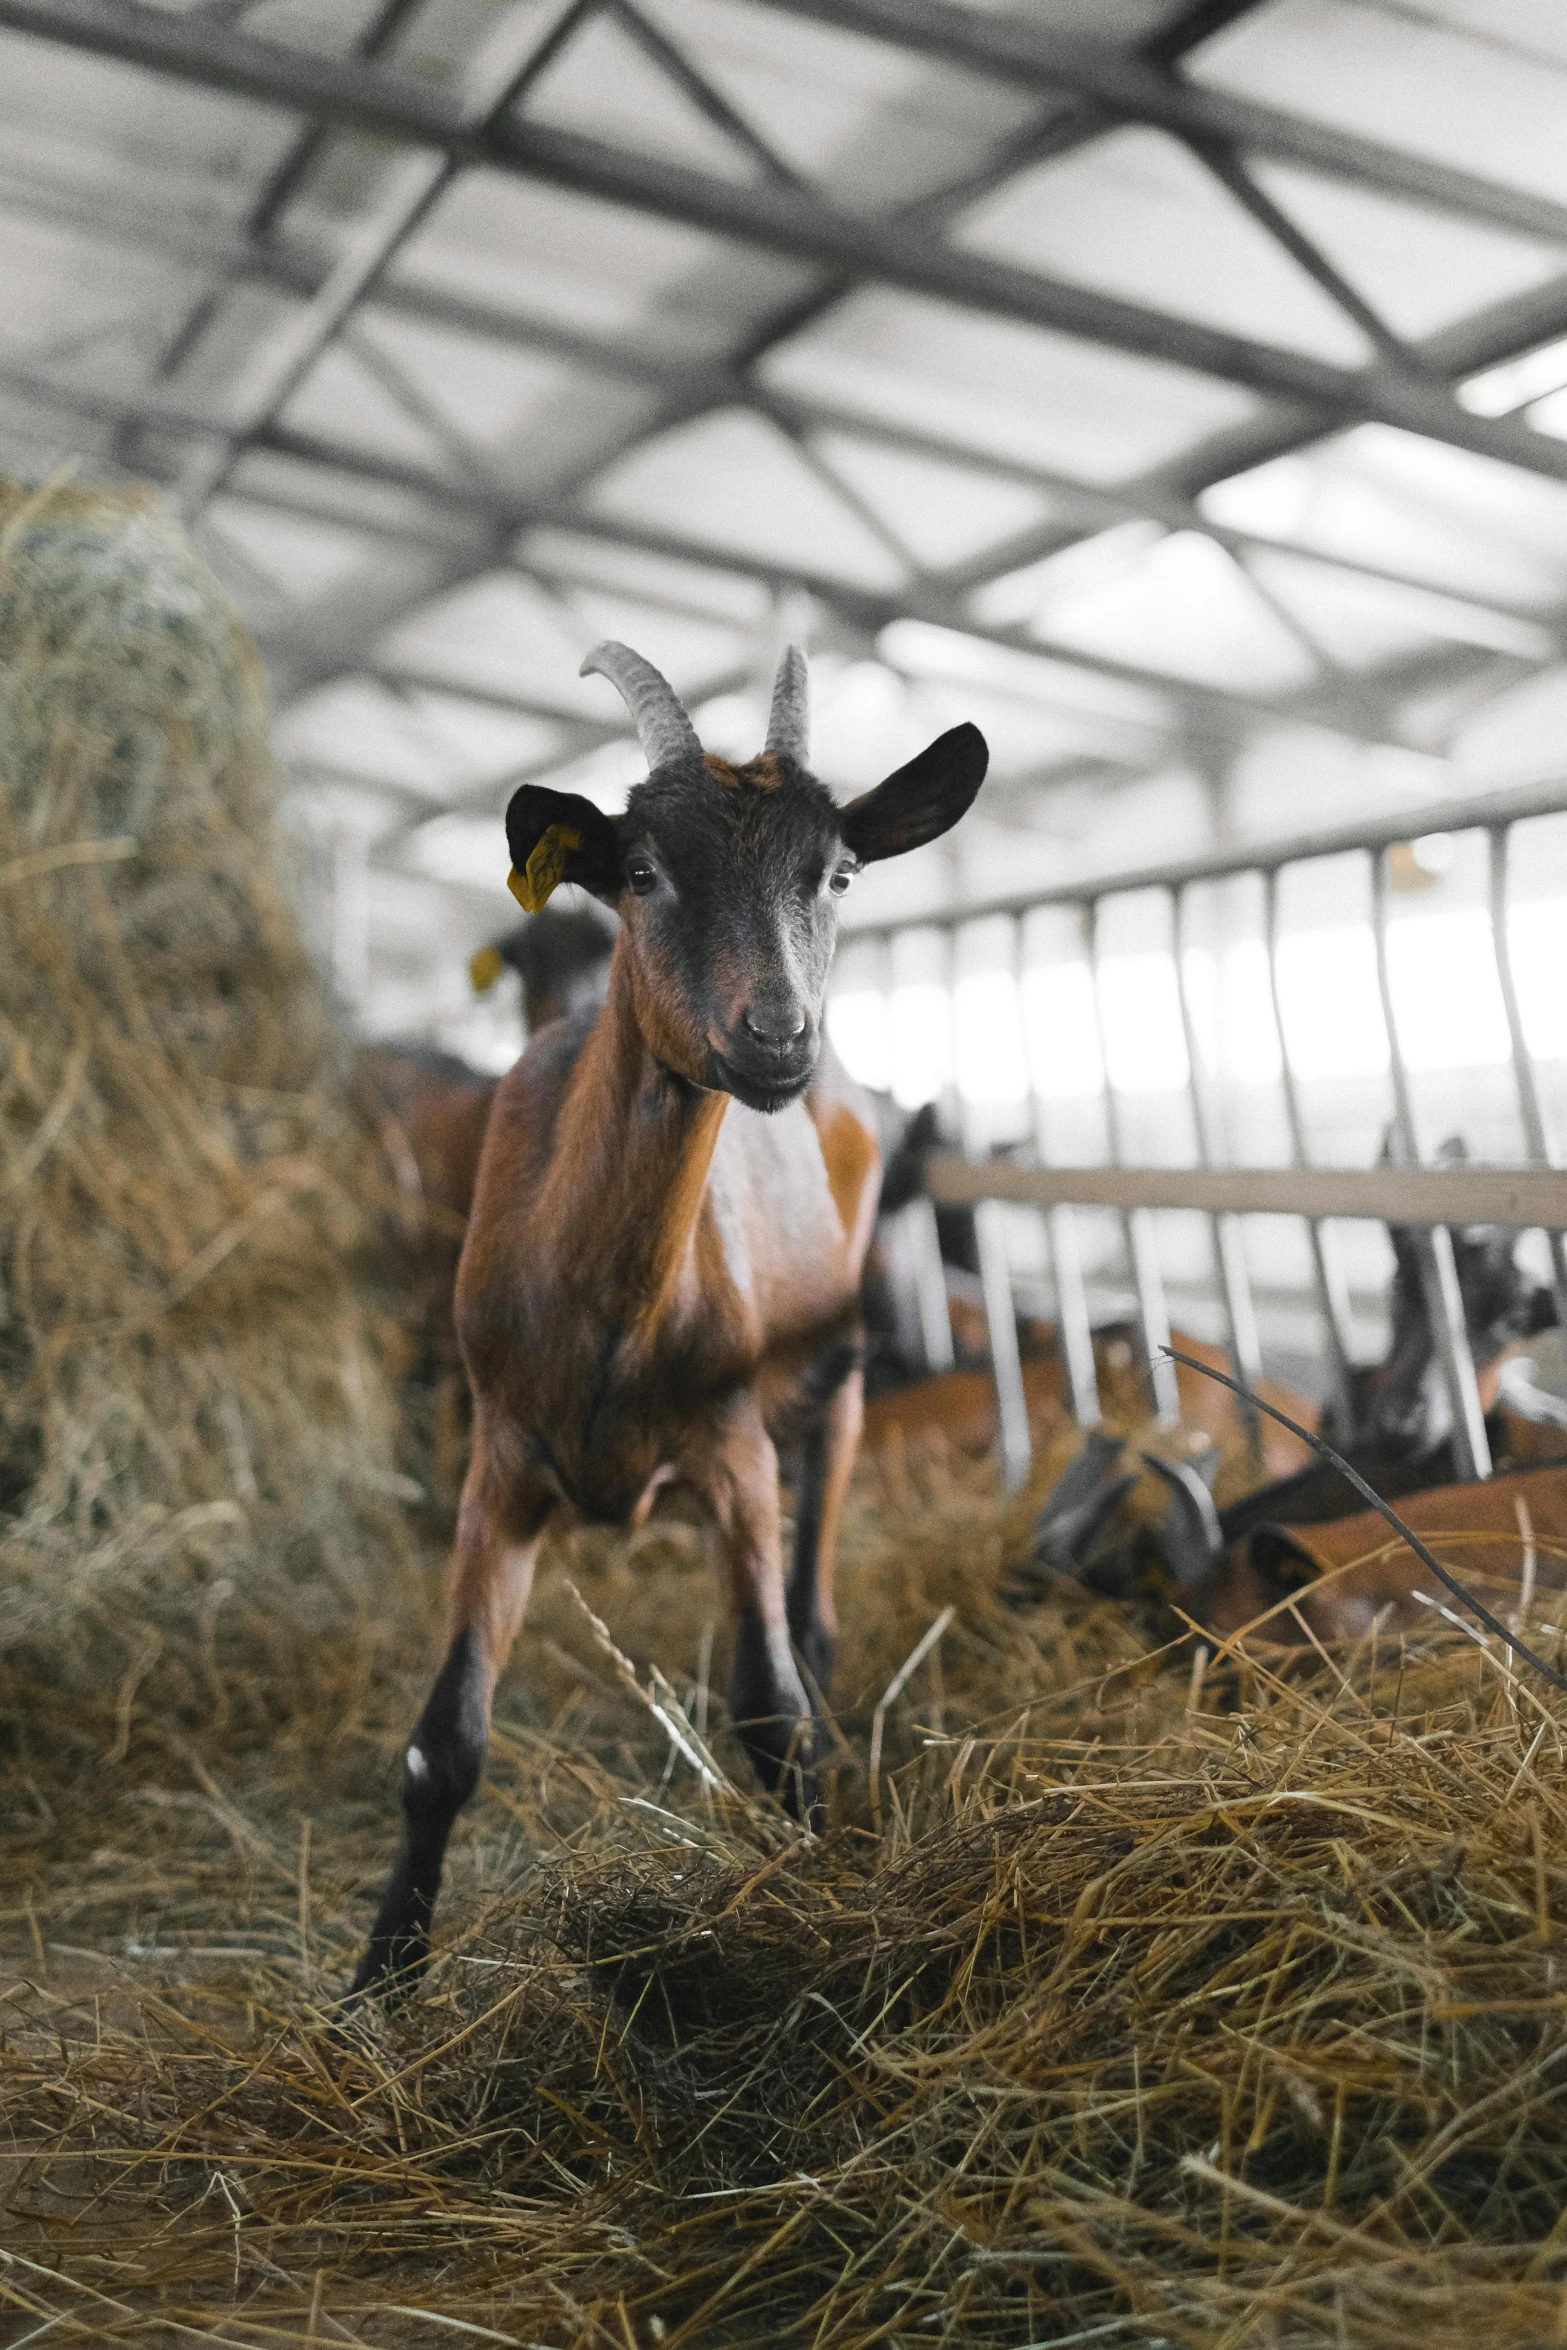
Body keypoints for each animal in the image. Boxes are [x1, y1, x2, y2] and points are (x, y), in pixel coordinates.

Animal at [359, 648, 991, 2002]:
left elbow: (770, 1709)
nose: (776, 1036)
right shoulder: (498, 1458)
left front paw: (815, 1884)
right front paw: (374, 1982)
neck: (604, 1315)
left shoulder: (731, 1449)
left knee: (811, 1600)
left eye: (838, 872)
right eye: (640, 871)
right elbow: (443, 1743)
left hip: (835, 1369)